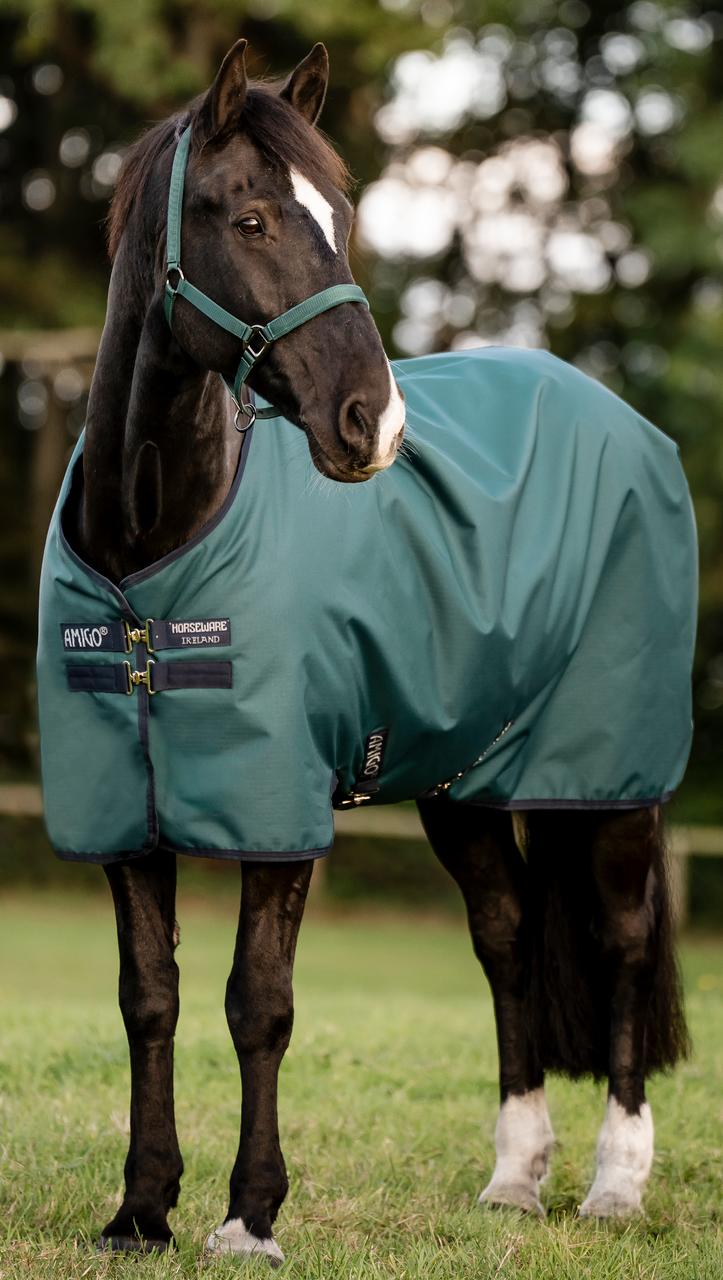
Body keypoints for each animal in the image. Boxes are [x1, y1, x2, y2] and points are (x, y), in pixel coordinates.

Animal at [37, 38, 693, 1261]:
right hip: (462, 782)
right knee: (506, 934)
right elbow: (149, 997)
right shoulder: (121, 815)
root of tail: (622, 418)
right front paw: (141, 1210)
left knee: (623, 941)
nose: (372, 425)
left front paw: (249, 1217)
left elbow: (259, 1002)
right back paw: (514, 1177)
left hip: (610, 778)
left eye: (340, 216)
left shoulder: (278, 805)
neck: (153, 553)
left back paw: (615, 1184)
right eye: (247, 218)